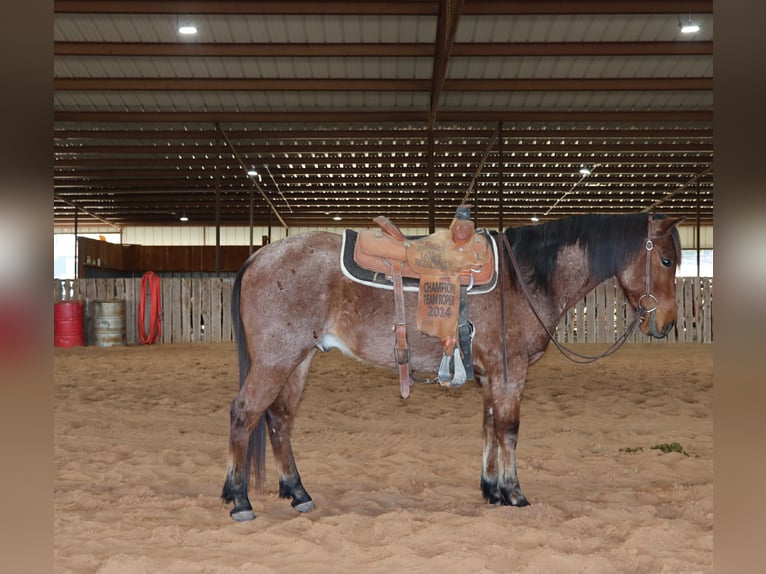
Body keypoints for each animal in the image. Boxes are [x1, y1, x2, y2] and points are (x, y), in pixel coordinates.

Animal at [221, 212, 684, 521]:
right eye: (665, 260)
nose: (666, 324)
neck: (523, 279)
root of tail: (260, 256)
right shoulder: (510, 370)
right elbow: (509, 430)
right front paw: (514, 493)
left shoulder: (491, 374)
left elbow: (490, 426)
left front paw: (491, 489)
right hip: (275, 360)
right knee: (244, 415)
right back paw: (240, 499)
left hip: (298, 360)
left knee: (279, 420)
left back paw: (297, 492)